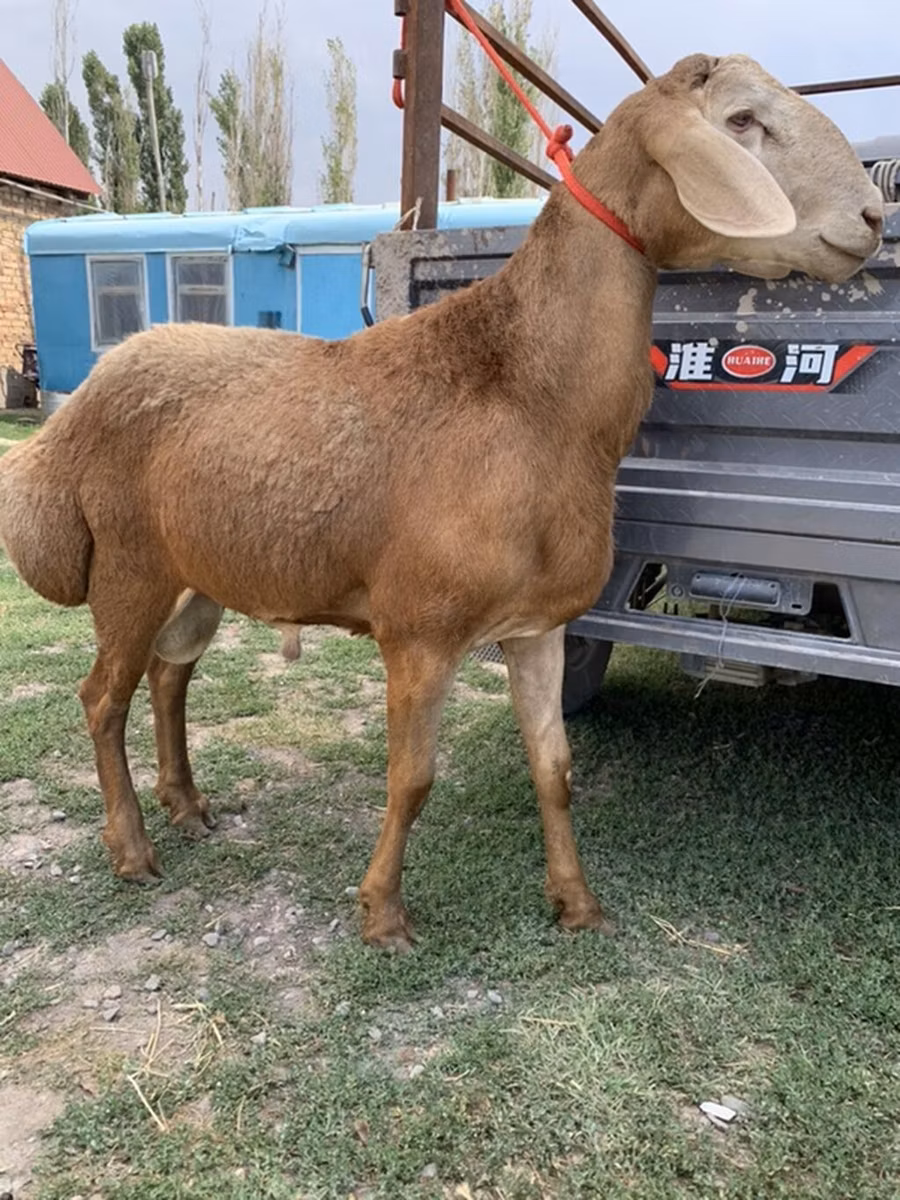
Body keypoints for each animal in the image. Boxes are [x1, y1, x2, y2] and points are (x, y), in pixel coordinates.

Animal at [0, 54, 883, 951]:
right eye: (742, 121)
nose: (873, 216)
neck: (533, 395)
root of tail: (74, 413)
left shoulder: (538, 625)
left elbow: (555, 769)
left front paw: (577, 903)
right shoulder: (419, 630)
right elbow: (413, 778)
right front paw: (384, 913)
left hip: (198, 573)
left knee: (169, 675)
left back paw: (187, 806)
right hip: (127, 564)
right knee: (102, 697)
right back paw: (133, 848)